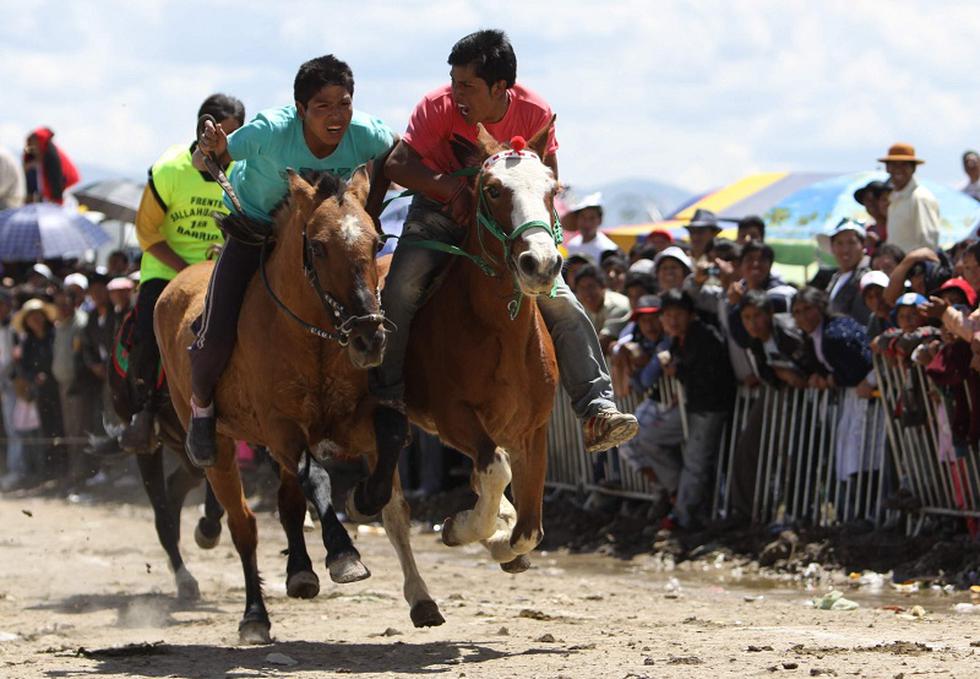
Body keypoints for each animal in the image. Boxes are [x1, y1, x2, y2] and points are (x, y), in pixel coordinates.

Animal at [155, 166, 442, 643]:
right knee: (244, 525)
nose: (369, 336)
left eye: (377, 242)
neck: (315, 340)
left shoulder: (356, 421)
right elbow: (318, 478)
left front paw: (417, 591)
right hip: (220, 446)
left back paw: (301, 572)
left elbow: (390, 483)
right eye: (319, 246)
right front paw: (344, 554)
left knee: (288, 503)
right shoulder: (282, 429)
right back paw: (255, 614)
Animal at [355, 120, 561, 570]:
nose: (541, 264)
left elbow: (530, 530)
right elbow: (495, 471)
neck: (499, 332)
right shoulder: (453, 417)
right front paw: (462, 527)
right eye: (494, 190)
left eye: (553, 189)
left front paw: (503, 539)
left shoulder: (532, 430)